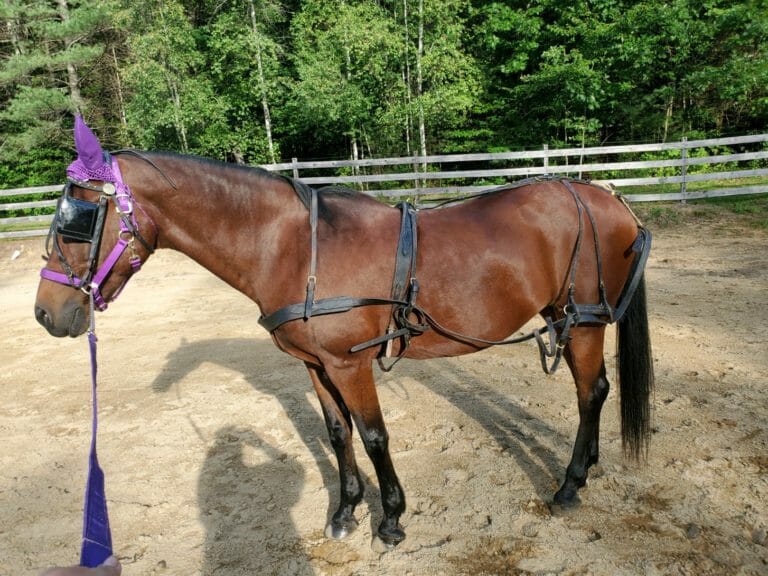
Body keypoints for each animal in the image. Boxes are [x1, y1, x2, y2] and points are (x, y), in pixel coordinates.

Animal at [35, 118, 653, 550]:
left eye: (79, 220)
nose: (46, 313)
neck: (294, 247)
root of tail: (609, 198)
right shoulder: (316, 364)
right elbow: (338, 435)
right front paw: (345, 513)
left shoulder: (350, 363)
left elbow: (375, 435)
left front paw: (392, 519)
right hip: (565, 320)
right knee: (593, 390)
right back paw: (587, 468)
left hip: (582, 320)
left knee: (591, 392)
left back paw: (570, 484)